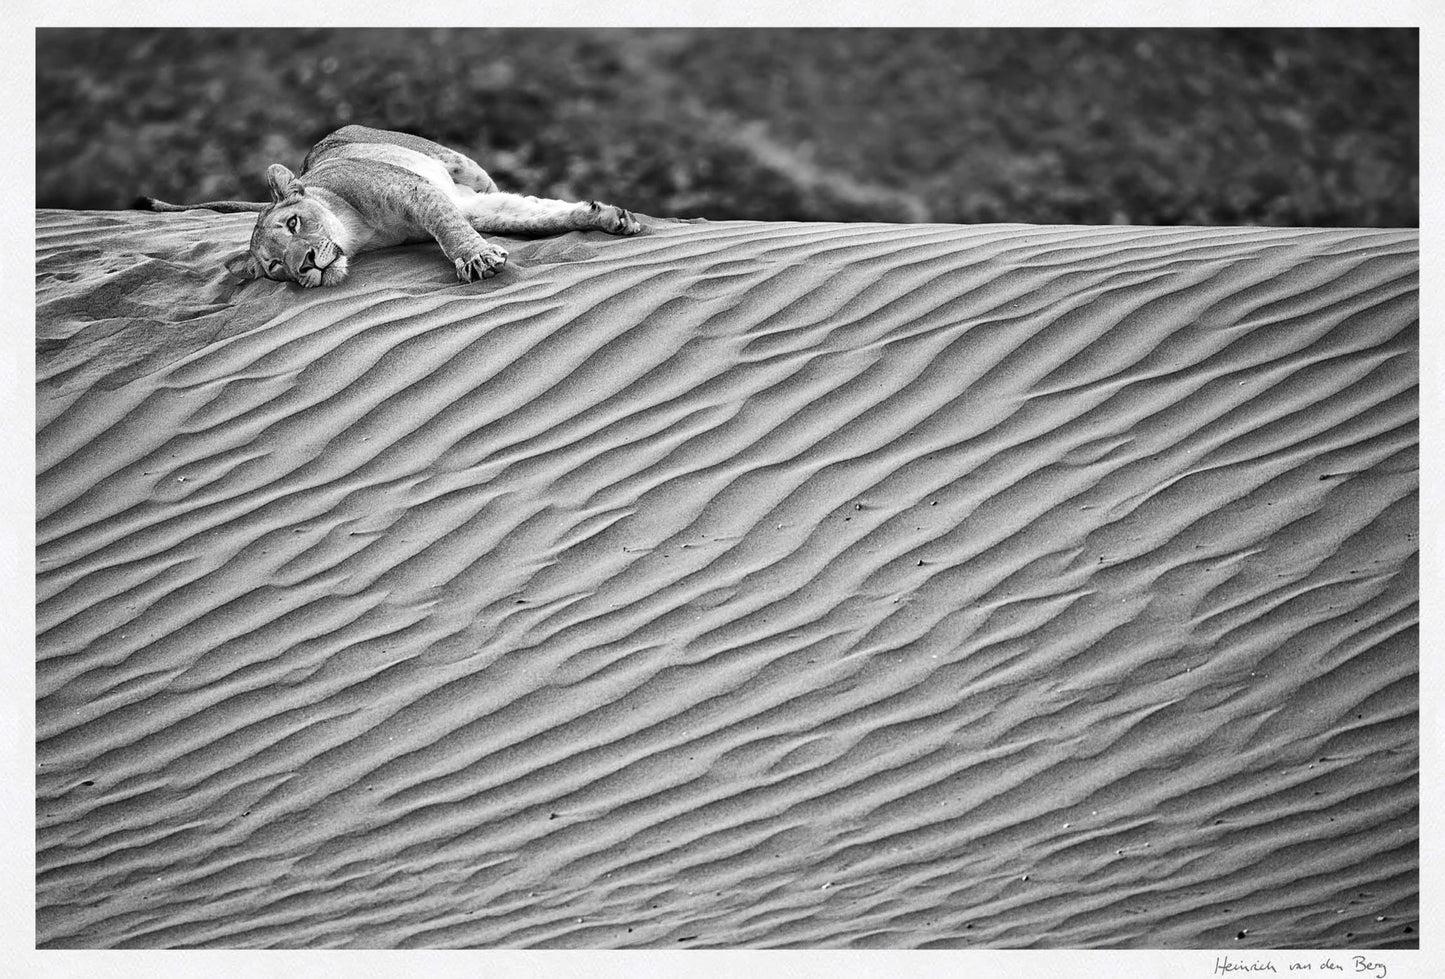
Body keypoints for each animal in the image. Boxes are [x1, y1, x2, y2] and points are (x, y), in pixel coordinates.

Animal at [135, 125, 642, 288]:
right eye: (276, 267)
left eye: (294, 223)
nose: (305, 266)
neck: (358, 234)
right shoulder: (458, 207)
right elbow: (531, 216)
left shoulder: (417, 192)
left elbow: (449, 231)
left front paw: (476, 259)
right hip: (475, 198)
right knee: (521, 209)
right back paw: (606, 217)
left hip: (462, 166)